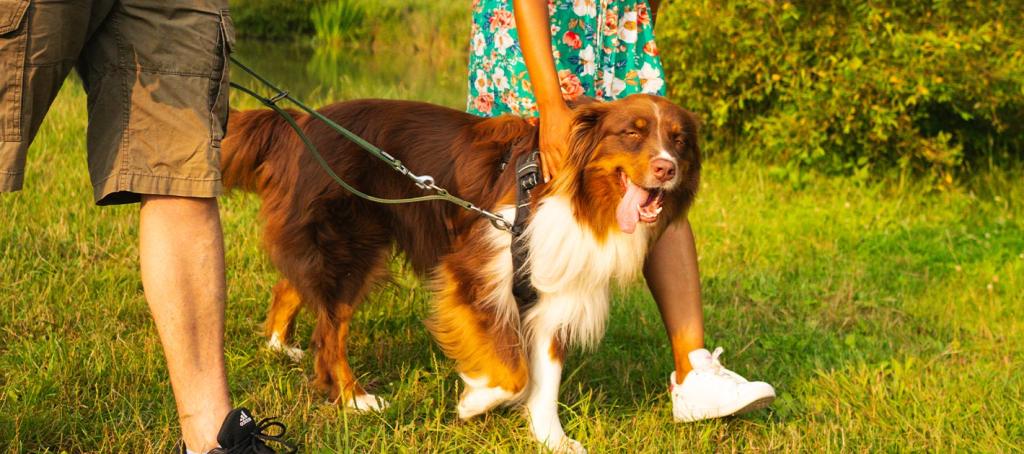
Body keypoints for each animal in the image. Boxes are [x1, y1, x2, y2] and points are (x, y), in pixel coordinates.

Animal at [222, 95, 704, 450]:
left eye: (679, 140)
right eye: (631, 133)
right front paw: (475, 401)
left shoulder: (555, 291)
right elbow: (514, 374)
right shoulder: (477, 267)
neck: (576, 194)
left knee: (294, 286)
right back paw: (355, 398)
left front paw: (551, 438)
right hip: (351, 242)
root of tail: (298, 121)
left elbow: (546, 375)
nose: (666, 168)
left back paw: (279, 346)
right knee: (330, 330)